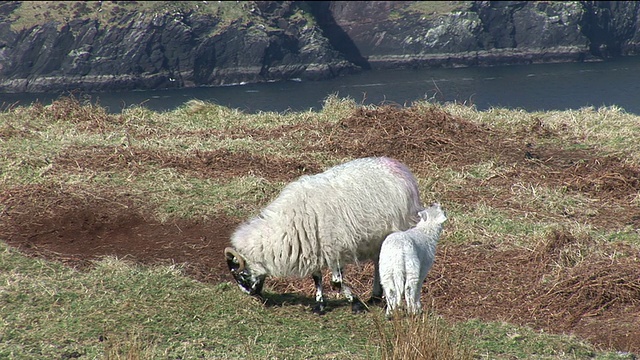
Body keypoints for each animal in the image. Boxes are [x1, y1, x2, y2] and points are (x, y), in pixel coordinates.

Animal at [225, 156, 424, 314]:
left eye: (241, 275)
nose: (255, 297)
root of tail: (399, 167)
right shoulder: (313, 247)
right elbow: (317, 277)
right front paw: (319, 305)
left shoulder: (333, 247)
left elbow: (336, 282)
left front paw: (355, 303)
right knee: (377, 260)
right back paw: (375, 296)